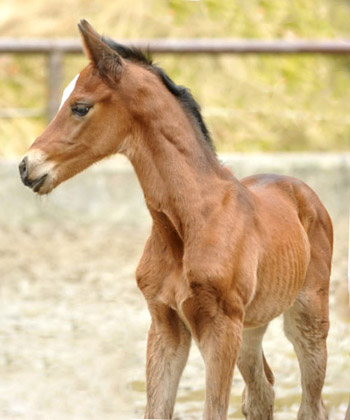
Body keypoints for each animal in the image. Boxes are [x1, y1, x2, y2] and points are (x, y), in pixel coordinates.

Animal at [19, 20, 334, 420]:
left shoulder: (219, 329)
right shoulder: (165, 325)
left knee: (312, 403)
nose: (26, 167)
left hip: (307, 317)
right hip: (252, 326)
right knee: (261, 394)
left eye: (80, 107)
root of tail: (302, 189)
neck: (188, 224)